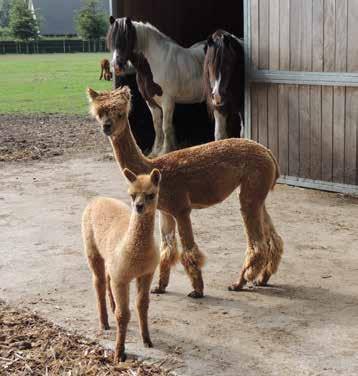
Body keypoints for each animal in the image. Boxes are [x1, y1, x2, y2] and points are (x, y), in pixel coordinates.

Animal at [106, 16, 227, 156]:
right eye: (112, 39)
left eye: (127, 38)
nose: (116, 66)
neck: (155, 62)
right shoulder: (151, 102)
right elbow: (157, 126)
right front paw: (155, 152)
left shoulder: (167, 101)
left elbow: (165, 127)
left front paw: (165, 151)